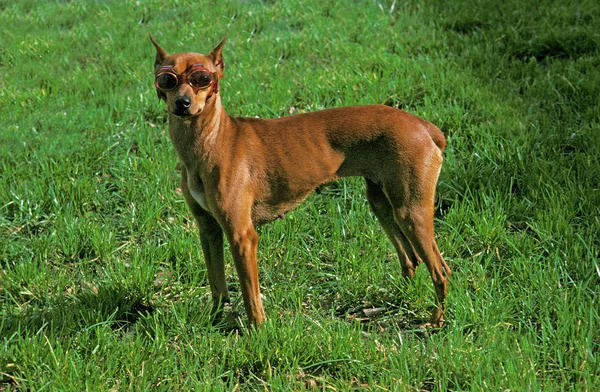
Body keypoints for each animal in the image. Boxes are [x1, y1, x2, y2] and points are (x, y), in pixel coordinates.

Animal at [150, 35, 450, 328]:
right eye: (166, 79)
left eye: (202, 78)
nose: (182, 103)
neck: (209, 141)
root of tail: (424, 126)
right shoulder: (208, 229)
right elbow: (217, 286)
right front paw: (214, 321)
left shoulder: (242, 235)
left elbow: (250, 296)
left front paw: (258, 332)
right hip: (382, 205)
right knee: (410, 259)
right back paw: (400, 300)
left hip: (411, 213)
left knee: (440, 270)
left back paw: (436, 320)